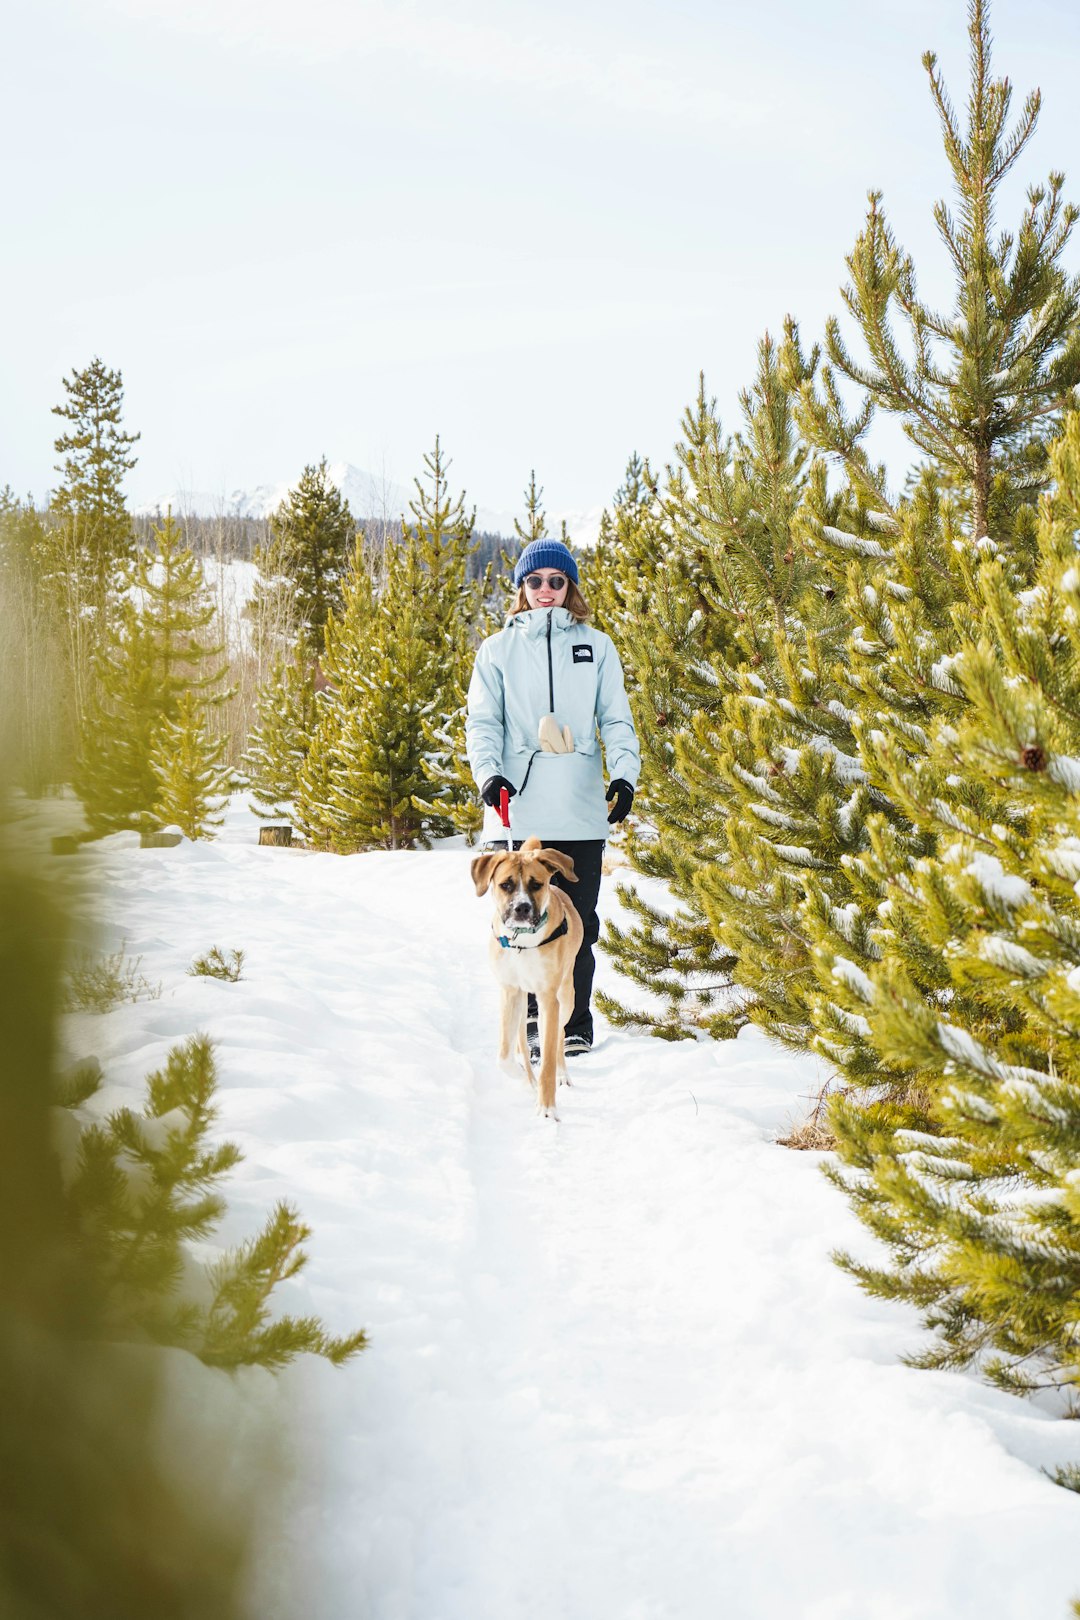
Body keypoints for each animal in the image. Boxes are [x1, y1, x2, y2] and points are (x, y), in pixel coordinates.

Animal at [472, 835, 586, 1114]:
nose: (522, 908)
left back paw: (562, 1074)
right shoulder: (510, 992)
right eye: (505, 884)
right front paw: (525, 1080)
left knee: (559, 1036)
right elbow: (504, 1057)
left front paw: (547, 1108)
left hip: (566, 995)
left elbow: (548, 1056)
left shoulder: (548, 997)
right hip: (524, 1001)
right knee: (522, 1041)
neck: (521, 942)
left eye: (536, 885)